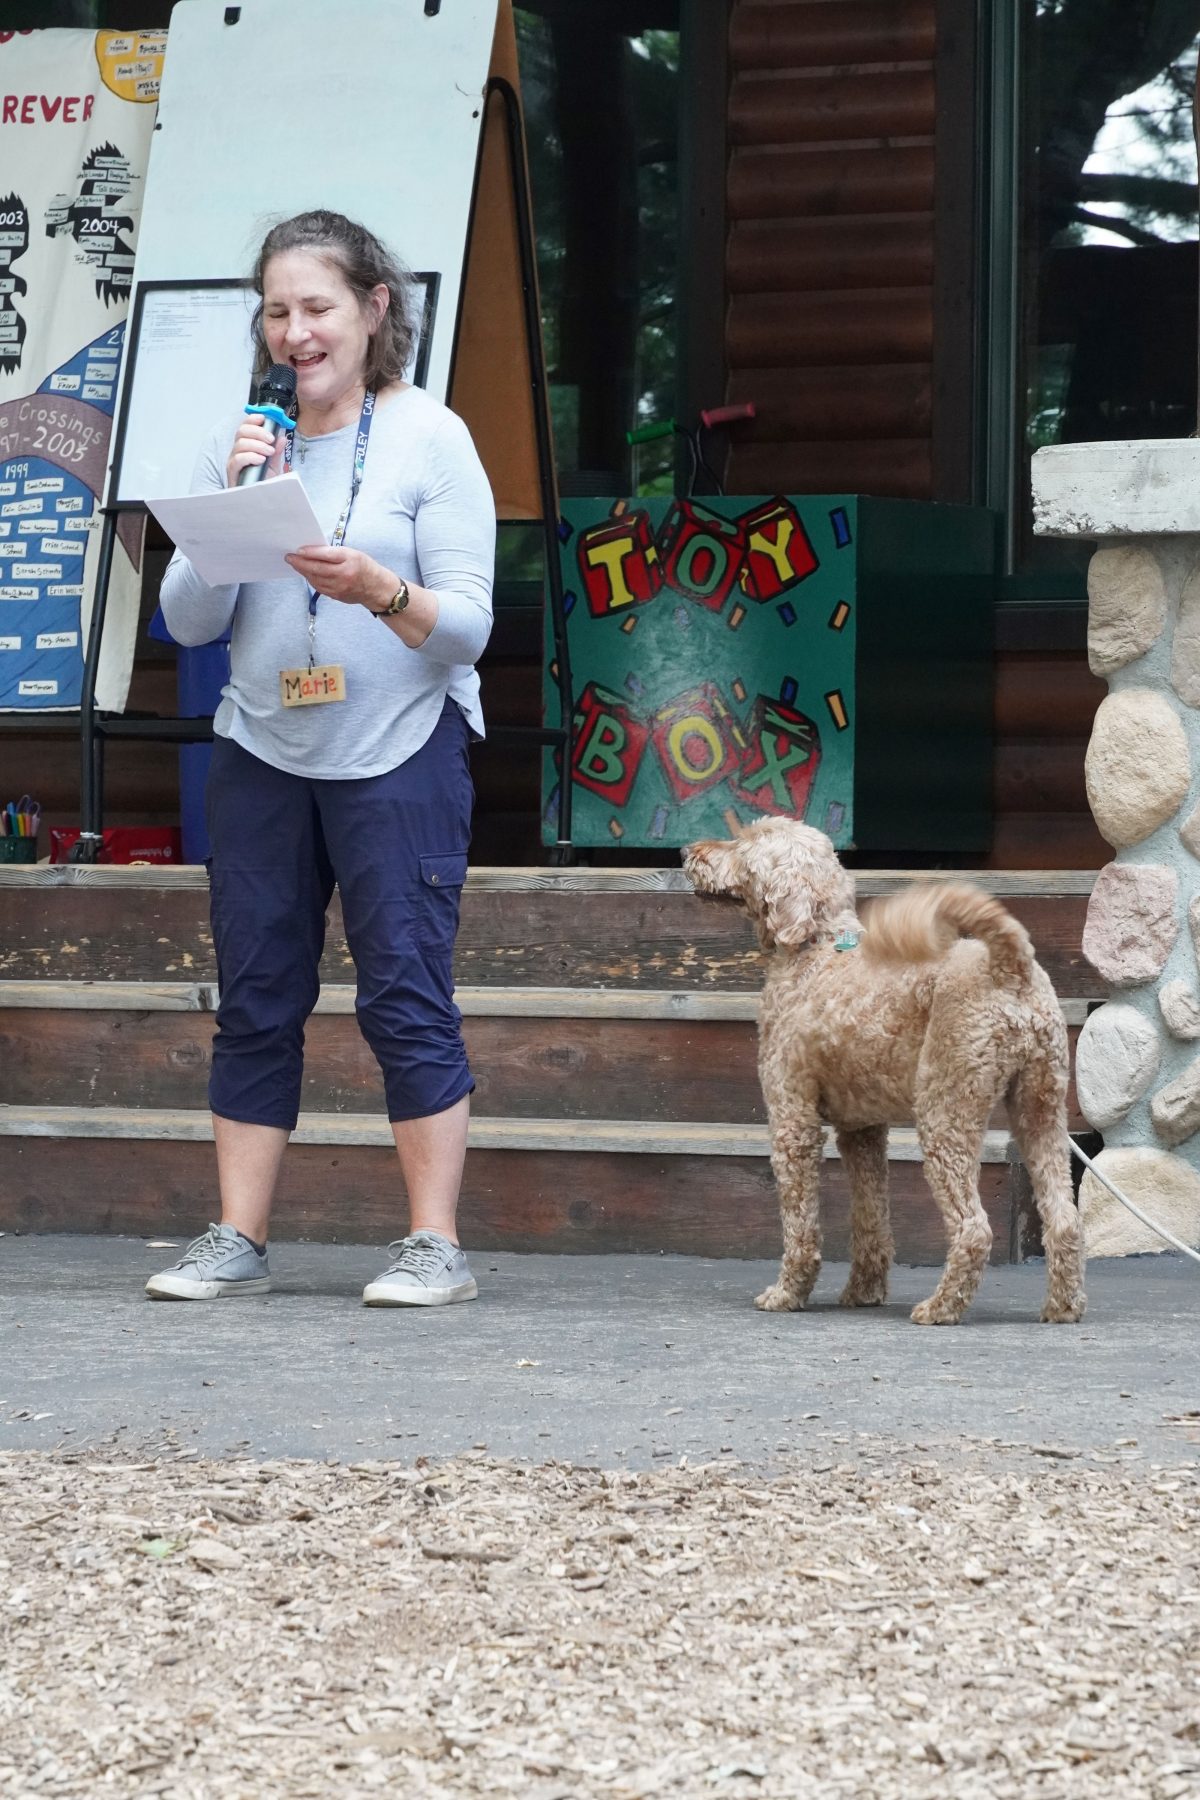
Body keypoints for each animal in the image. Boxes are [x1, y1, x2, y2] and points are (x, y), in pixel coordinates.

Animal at [683, 817, 1086, 1324]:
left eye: (746, 843)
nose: (688, 851)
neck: (816, 945)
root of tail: (1009, 966)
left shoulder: (792, 1120)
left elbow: (801, 1225)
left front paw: (787, 1293)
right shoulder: (862, 1132)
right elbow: (870, 1218)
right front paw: (865, 1291)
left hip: (945, 1112)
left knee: (973, 1228)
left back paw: (941, 1307)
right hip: (1042, 1110)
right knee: (1065, 1219)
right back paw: (1063, 1307)